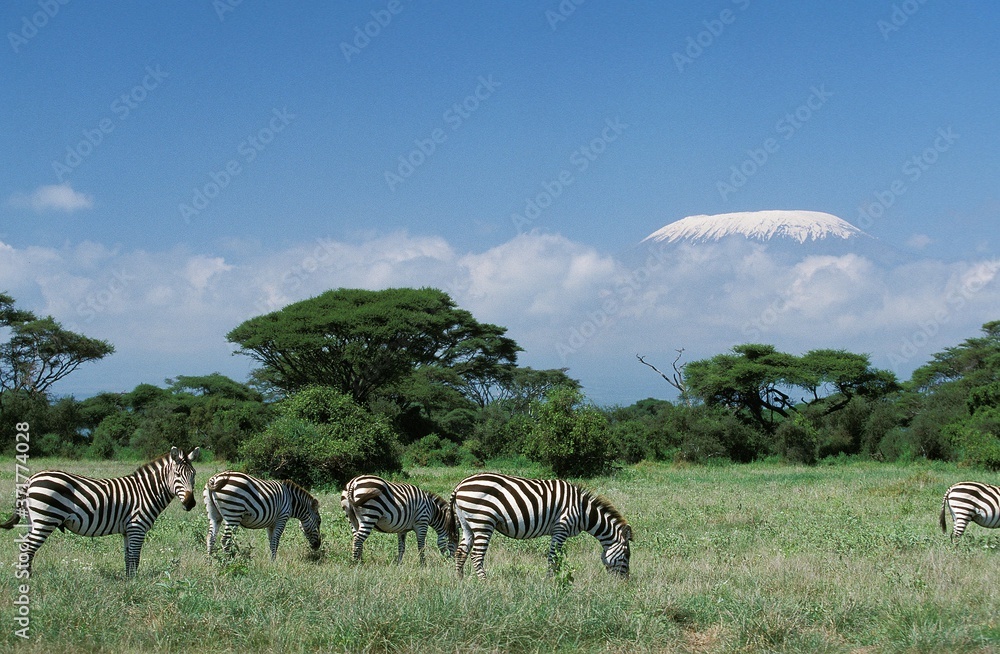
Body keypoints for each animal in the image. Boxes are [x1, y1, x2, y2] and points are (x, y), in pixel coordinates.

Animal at [0, 447, 200, 578]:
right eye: (177, 475)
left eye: (194, 475)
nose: (190, 503)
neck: (146, 491)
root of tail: (31, 479)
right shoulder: (137, 527)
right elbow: (135, 557)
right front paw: (134, 582)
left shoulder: (127, 530)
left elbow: (128, 557)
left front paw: (128, 581)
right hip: (45, 520)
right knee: (27, 547)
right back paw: (27, 579)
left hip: (33, 521)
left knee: (26, 547)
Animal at [450, 472, 633, 580]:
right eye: (627, 555)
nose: (624, 583)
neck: (582, 511)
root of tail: (460, 485)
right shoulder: (561, 528)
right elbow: (553, 557)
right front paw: (551, 582)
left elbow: (557, 557)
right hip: (483, 521)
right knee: (476, 555)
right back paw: (485, 583)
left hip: (467, 524)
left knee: (461, 552)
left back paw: (460, 580)